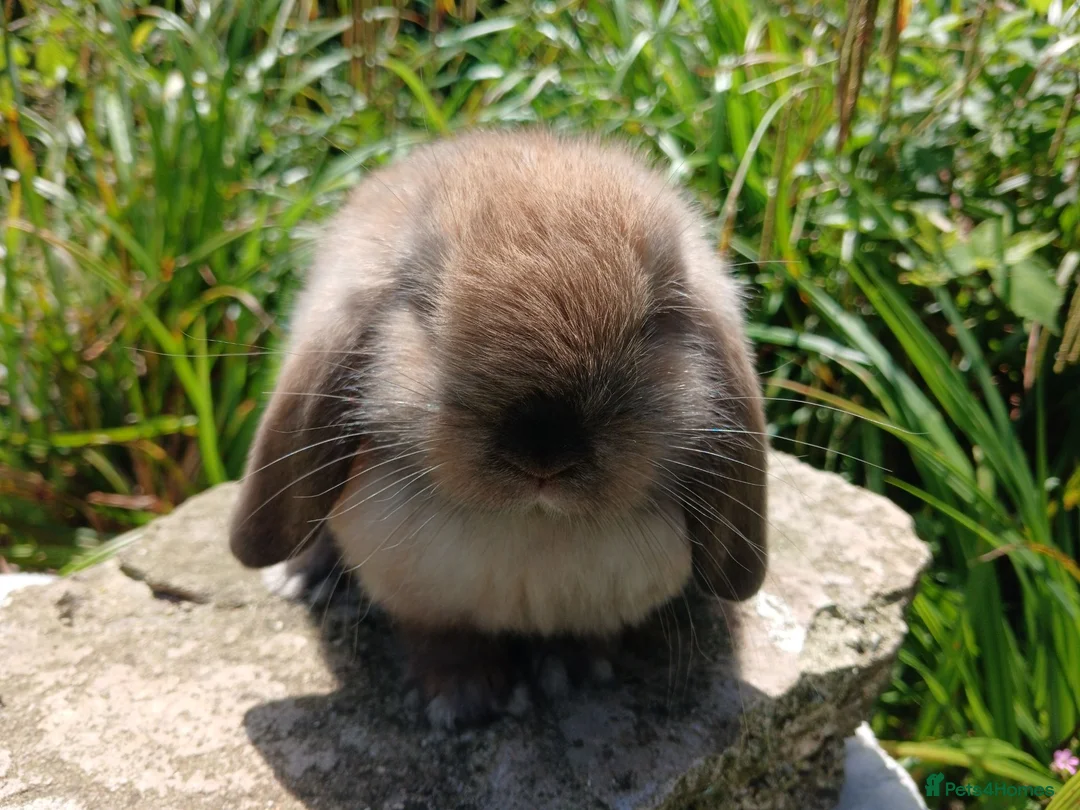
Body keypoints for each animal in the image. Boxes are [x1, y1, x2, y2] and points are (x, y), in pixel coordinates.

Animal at [229, 128, 768, 729]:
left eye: (658, 318)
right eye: (424, 305)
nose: (544, 451)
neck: (529, 524)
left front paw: (572, 673)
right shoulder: (422, 593)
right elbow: (443, 639)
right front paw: (462, 701)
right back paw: (307, 577)